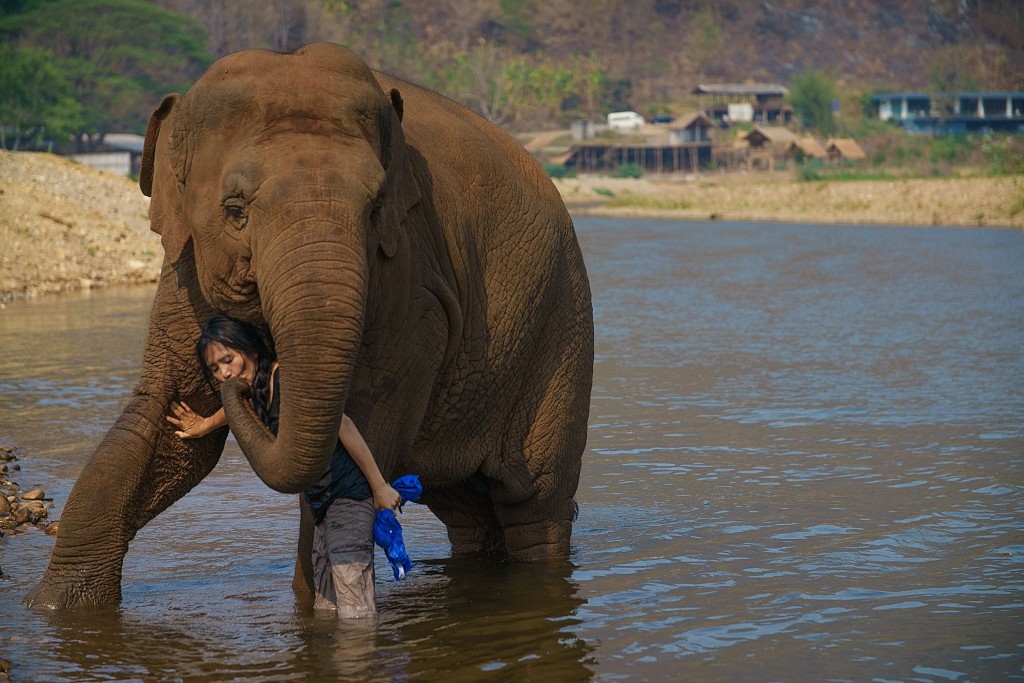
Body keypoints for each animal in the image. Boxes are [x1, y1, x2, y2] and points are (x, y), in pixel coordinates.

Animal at [25, 42, 593, 610]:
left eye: (375, 210)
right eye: (235, 210)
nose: (239, 381)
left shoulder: (413, 283)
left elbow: (369, 414)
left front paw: (318, 607)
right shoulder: (185, 270)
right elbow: (166, 431)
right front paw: (51, 607)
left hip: (562, 333)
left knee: (533, 504)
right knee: (469, 512)